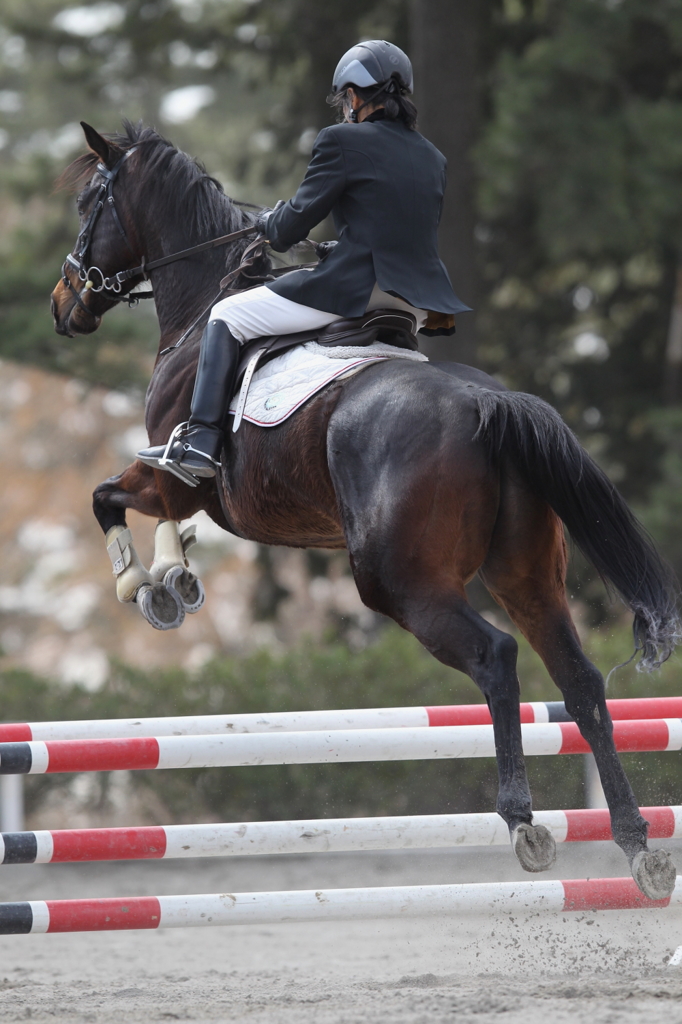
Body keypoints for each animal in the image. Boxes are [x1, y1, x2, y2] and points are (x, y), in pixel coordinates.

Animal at [50, 123, 675, 901]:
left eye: (89, 204)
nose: (62, 303)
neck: (203, 306)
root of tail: (486, 401)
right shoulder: (177, 484)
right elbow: (147, 512)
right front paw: (177, 579)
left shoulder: (177, 474)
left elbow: (107, 496)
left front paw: (150, 586)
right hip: (524, 575)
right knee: (582, 683)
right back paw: (637, 844)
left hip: (399, 582)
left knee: (495, 657)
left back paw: (523, 821)